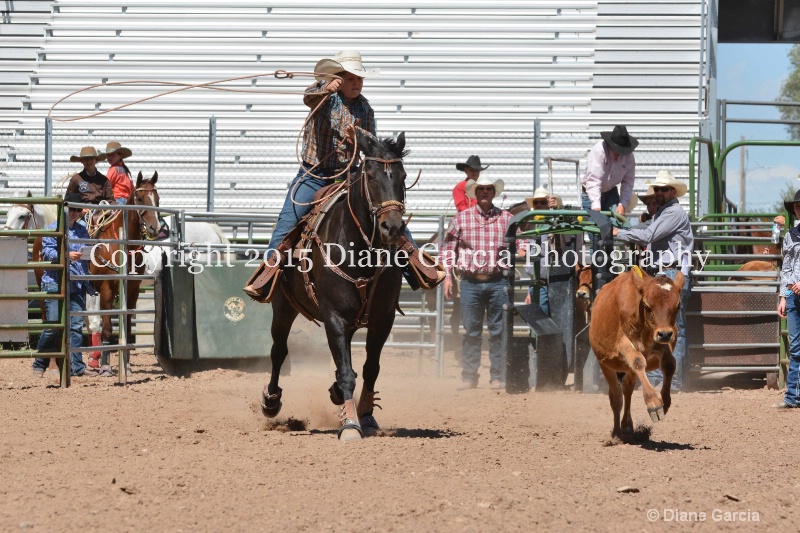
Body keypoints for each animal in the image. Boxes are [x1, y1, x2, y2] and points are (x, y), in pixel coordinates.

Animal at [90, 172, 161, 360]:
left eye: (157, 199)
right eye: (140, 198)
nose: (155, 228)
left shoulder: (133, 289)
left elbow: (128, 328)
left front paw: (126, 360)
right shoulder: (106, 288)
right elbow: (107, 331)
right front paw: (105, 363)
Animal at [262, 132, 410, 440]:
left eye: (403, 176)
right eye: (370, 176)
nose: (392, 227)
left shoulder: (383, 318)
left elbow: (369, 368)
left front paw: (365, 415)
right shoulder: (334, 317)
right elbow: (345, 373)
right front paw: (351, 425)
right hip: (283, 307)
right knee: (278, 350)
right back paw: (271, 401)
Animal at [592, 266, 684, 436]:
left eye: (678, 305)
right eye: (647, 305)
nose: (666, 334)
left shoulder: (659, 343)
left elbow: (670, 364)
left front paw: (665, 401)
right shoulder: (621, 343)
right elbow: (637, 359)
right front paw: (654, 403)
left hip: (627, 370)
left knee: (627, 390)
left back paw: (627, 425)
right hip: (606, 366)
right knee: (616, 398)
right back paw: (617, 432)